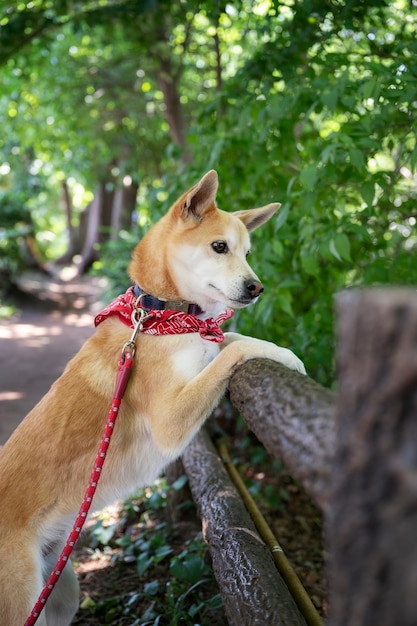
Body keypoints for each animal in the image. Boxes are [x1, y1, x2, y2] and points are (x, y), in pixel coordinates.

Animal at [0, 168, 304, 620]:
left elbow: (229, 340)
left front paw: (270, 347)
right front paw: (287, 355)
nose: (256, 287)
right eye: (220, 247)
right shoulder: (170, 422)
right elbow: (232, 351)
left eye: (247, 251)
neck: (159, 315)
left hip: (61, 590)